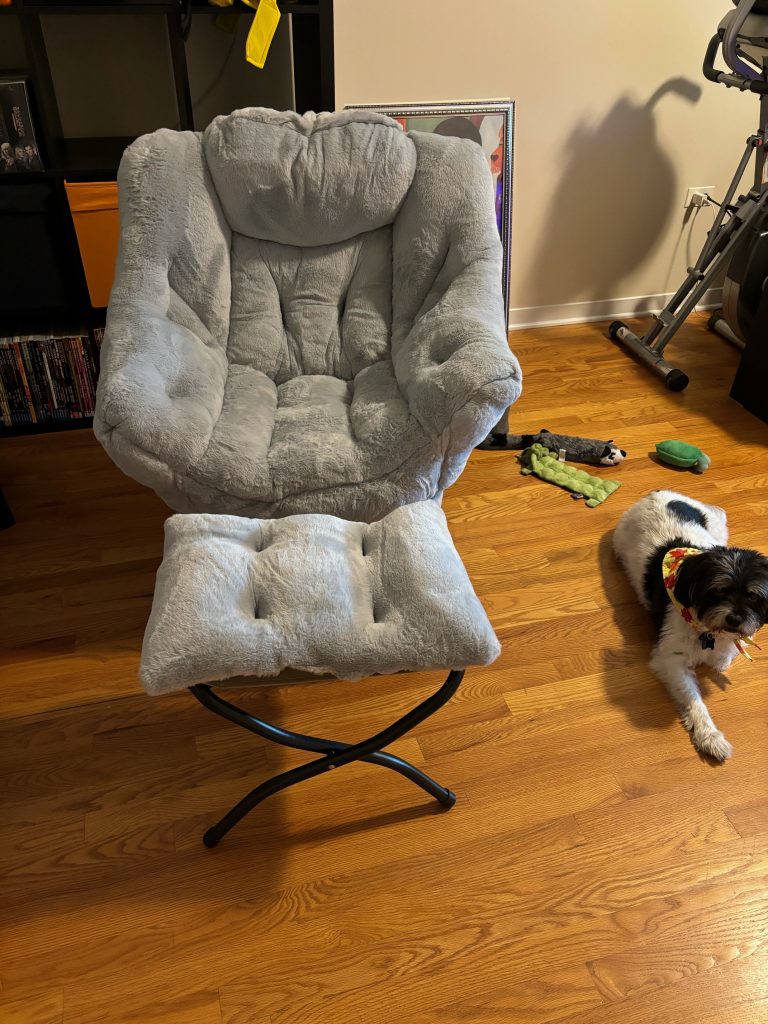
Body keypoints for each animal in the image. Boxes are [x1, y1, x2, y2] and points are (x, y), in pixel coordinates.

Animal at [614, 487, 768, 761]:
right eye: (718, 590)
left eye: (753, 596)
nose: (735, 619)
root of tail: (658, 492)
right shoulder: (669, 658)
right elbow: (694, 701)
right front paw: (710, 737)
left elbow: (725, 656)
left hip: (718, 527)